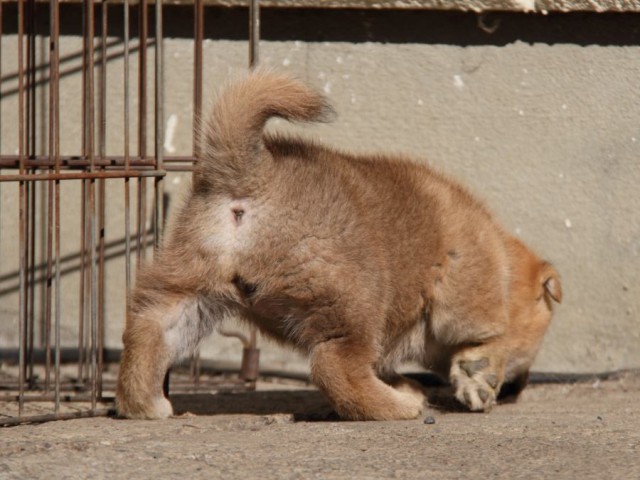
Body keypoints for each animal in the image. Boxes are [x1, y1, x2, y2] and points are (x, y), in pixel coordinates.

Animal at [115, 72, 560, 420]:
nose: (519, 389)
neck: (501, 260)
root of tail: (254, 174)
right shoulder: (467, 300)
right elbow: (489, 338)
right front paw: (480, 375)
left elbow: (386, 363)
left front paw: (412, 383)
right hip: (353, 300)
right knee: (334, 367)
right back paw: (397, 409)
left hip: (192, 290)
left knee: (148, 329)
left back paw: (144, 403)